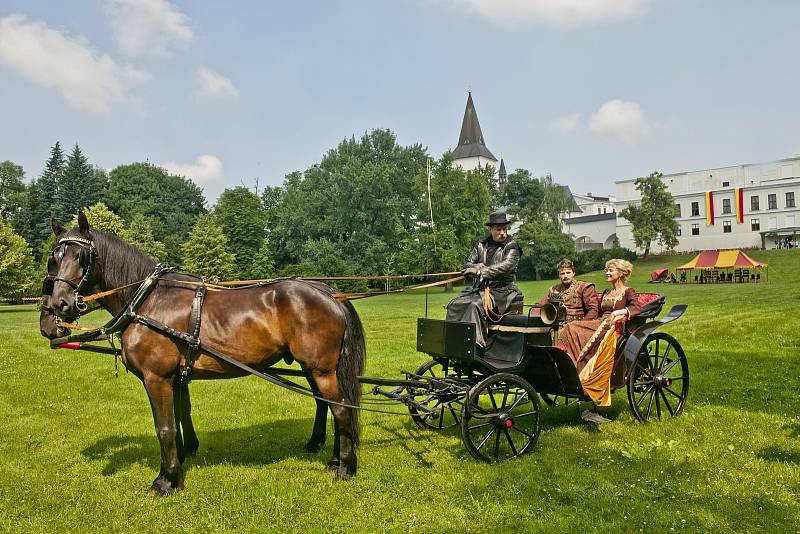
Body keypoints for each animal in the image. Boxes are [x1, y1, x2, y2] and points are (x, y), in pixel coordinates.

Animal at [40, 211, 366, 496]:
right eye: (55, 259)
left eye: (81, 256)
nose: (60, 305)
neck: (147, 301)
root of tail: (330, 294)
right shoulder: (175, 378)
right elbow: (180, 417)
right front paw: (182, 459)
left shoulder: (156, 378)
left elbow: (165, 428)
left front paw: (166, 481)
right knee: (329, 405)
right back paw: (333, 457)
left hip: (321, 369)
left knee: (341, 409)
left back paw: (345, 467)